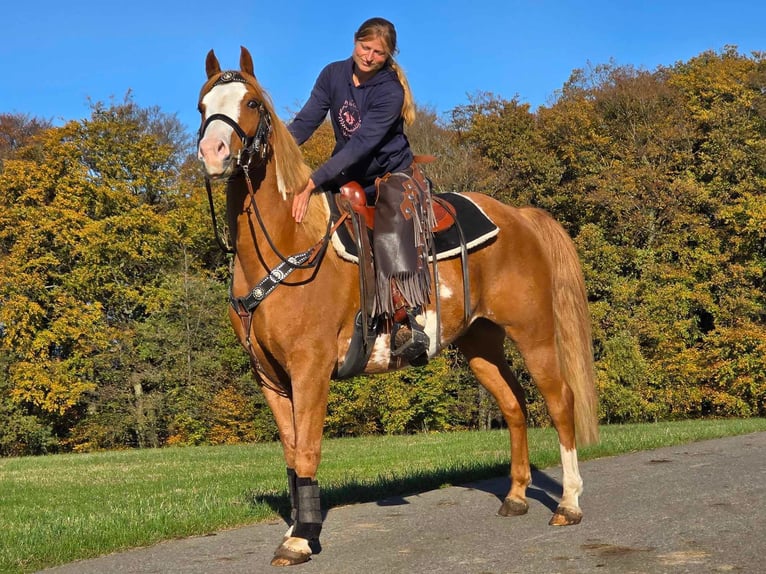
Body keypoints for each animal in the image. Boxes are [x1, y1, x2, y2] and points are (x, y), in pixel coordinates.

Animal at [196, 47, 600, 568]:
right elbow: (289, 453)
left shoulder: (310, 369)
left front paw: (301, 538)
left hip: (534, 333)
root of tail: (520, 217)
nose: (213, 152)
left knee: (559, 401)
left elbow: (306, 450)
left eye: (251, 103)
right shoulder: (269, 376)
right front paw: (297, 527)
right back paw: (515, 496)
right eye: (203, 105)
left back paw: (568, 503)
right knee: (514, 403)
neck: (290, 242)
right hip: (480, 342)